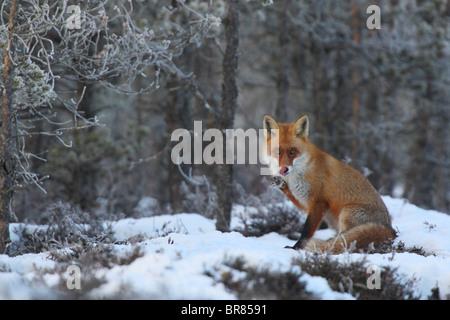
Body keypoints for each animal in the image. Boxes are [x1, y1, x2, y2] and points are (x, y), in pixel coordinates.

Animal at [262, 114, 396, 254]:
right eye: (277, 152)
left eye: (293, 151)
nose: (284, 169)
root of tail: (391, 230)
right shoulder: (304, 201)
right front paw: (279, 183)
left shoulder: (318, 202)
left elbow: (307, 231)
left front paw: (296, 248)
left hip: (346, 213)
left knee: (347, 237)